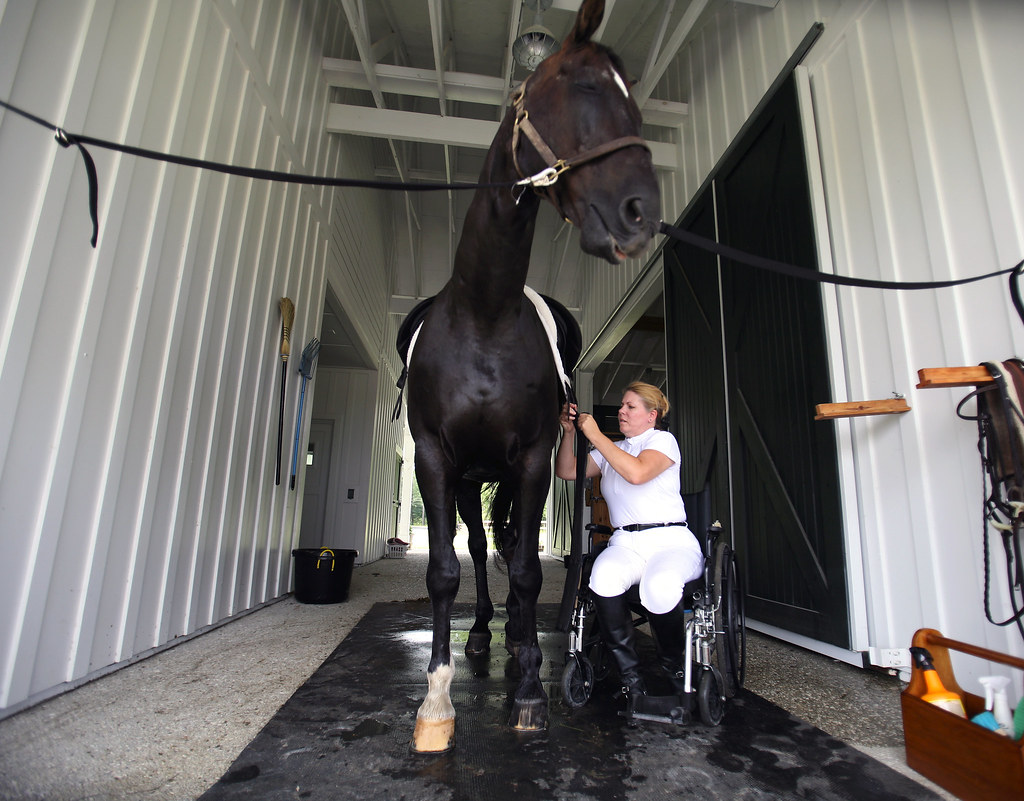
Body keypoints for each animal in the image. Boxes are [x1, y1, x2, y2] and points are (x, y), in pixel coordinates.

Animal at [404, 0, 660, 752]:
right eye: (580, 86)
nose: (641, 212)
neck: (485, 314)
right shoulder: (434, 459)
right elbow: (444, 570)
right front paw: (436, 701)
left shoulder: (534, 458)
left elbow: (522, 569)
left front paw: (527, 690)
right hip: (467, 480)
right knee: (477, 547)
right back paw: (484, 637)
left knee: (511, 554)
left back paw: (517, 644)